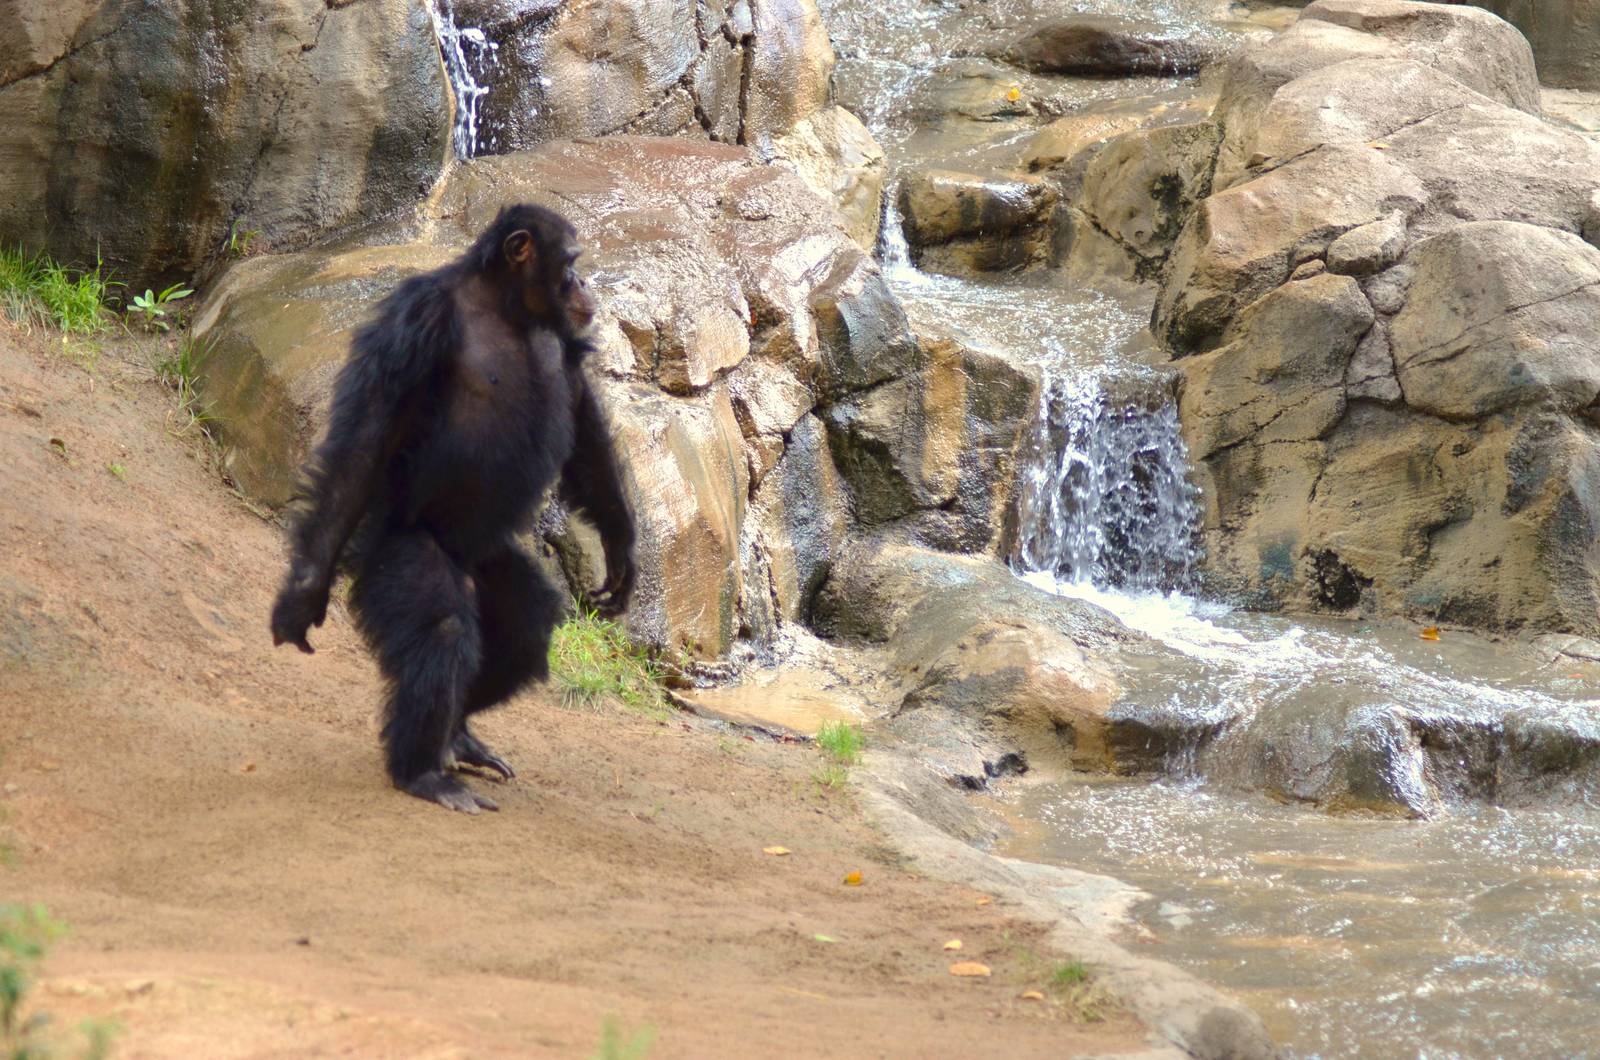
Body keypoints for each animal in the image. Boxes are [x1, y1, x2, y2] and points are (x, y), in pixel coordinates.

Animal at [270, 203, 636, 814]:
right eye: (571, 262)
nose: (585, 282)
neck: (506, 307)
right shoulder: (417, 319)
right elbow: (370, 435)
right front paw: (303, 593)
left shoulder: (566, 341)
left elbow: (582, 410)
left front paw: (621, 544)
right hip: (397, 547)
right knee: (441, 628)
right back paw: (421, 770)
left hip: (490, 559)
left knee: (525, 627)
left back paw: (457, 735)